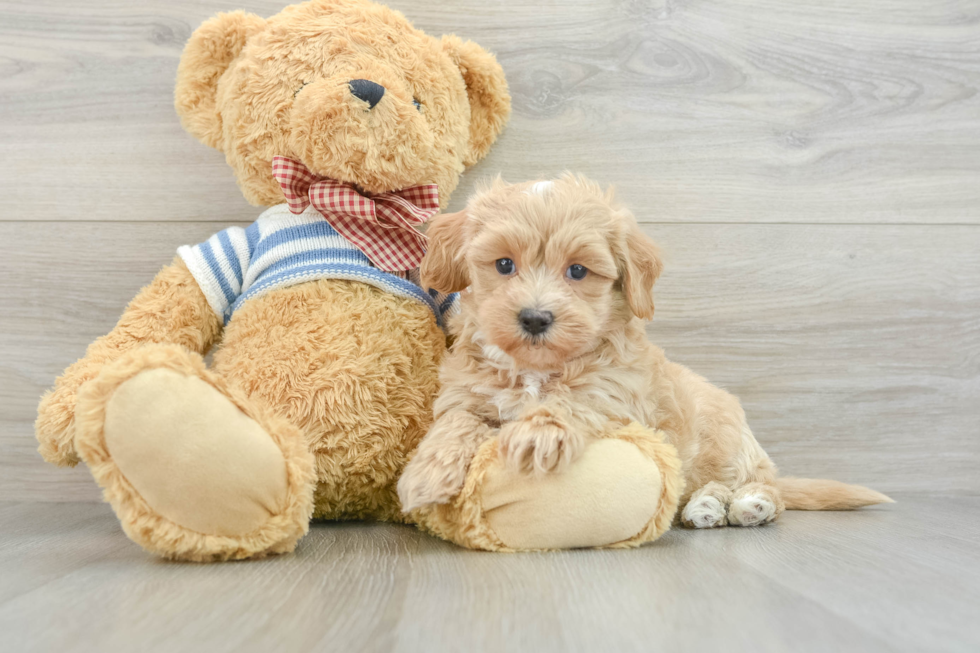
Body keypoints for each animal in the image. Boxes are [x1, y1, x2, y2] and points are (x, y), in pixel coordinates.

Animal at [396, 176, 888, 528]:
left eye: (578, 271)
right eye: (503, 264)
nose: (535, 318)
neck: (538, 369)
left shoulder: (618, 396)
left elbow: (575, 399)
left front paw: (538, 432)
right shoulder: (466, 393)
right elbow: (456, 421)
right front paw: (425, 473)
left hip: (728, 442)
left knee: (764, 483)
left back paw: (749, 504)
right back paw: (707, 507)